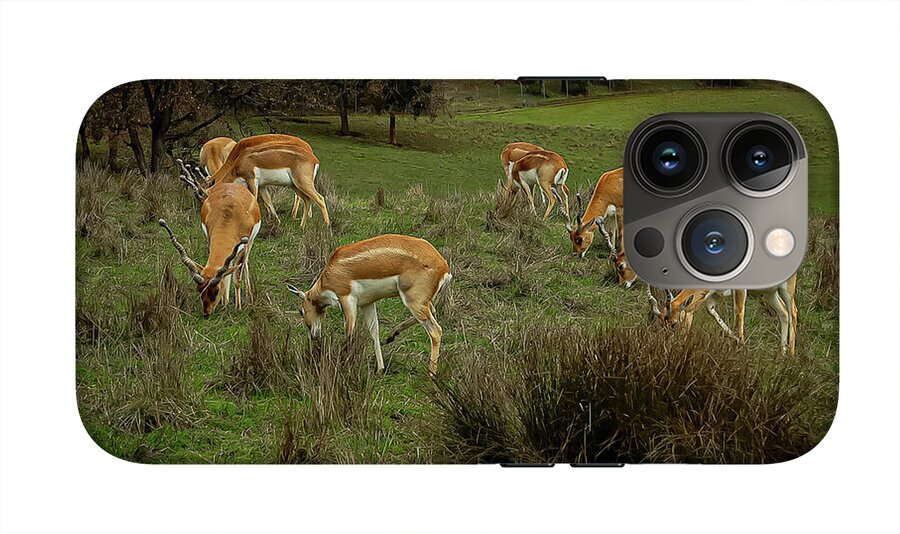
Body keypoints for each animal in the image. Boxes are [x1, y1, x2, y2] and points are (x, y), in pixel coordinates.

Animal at [158, 182, 261, 317]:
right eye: (200, 289)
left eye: (216, 291)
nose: (206, 313)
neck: (229, 217)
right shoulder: (210, 239)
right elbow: (226, 273)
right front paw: (224, 303)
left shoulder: (243, 247)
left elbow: (237, 278)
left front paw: (238, 308)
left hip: (250, 243)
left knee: (244, 265)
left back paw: (249, 296)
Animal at [286, 234, 452, 377]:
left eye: (301, 311)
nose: (314, 336)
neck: (329, 273)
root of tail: (444, 267)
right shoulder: (367, 303)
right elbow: (374, 331)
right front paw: (380, 369)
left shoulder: (347, 299)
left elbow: (349, 333)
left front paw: (344, 366)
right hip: (421, 302)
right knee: (432, 311)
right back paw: (392, 335)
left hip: (413, 301)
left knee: (435, 330)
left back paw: (431, 374)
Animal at [655, 273, 799, 355]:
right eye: (661, 323)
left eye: (674, 323)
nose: (666, 346)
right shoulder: (713, 296)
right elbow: (712, 313)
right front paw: (739, 343)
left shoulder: (740, 290)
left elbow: (738, 315)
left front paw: (740, 348)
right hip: (768, 293)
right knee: (784, 312)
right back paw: (781, 355)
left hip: (787, 289)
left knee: (793, 312)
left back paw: (790, 357)